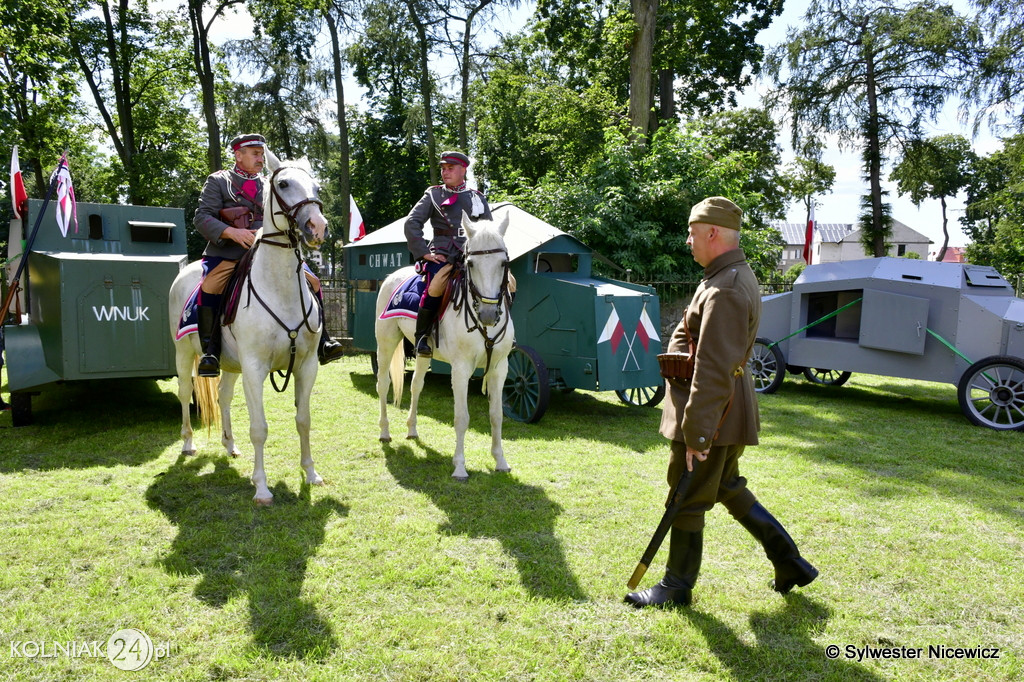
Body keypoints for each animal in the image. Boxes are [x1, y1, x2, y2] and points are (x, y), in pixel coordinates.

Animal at [169, 151, 325, 501]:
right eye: (284, 183)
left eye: (316, 186)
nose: (317, 226)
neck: (280, 289)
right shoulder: (255, 367)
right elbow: (259, 428)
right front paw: (262, 488)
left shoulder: (307, 365)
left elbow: (304, 420)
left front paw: (310, 473)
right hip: (184, 354)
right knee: (185, 392)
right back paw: (187, 443)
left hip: (228, 363)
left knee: (223, 397)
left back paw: (229, 444)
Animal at [376, 212, 516, 477]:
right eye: (470, 264)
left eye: (504, 263)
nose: (488, 314)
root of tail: (392, 277)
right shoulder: (460, 370)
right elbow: (461, 417)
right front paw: (460, 466)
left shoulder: (498, 368)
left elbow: (497, 415)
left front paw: (500, 461)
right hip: (386, 344)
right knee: (384, 385)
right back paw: (385, 432)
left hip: (422, 352)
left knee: (416, 386)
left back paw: (412, 429)